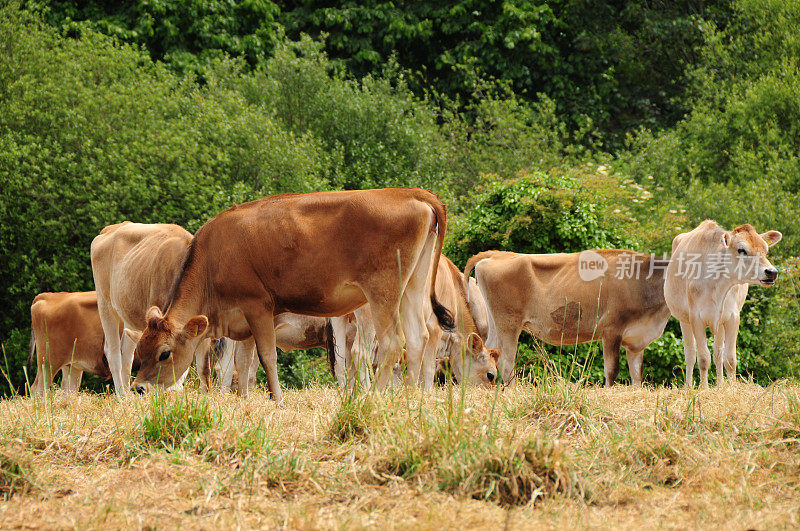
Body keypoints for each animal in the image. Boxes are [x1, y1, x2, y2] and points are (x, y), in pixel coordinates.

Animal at [133, 187, 456, 404]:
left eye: (164, 353)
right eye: (140, 349)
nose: (138, 388)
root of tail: (409, 193)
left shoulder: (258, 305)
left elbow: (266, 357)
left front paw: (277, 401)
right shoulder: (242, 320)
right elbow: (243, 363)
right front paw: (244, 400)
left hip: (383, 290)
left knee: (391, 343)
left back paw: (374, 398)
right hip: (413, 284)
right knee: (417, 338)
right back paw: (409, 399)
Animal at [466, 249, 672, 386]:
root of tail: (498, 254)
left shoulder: (636, 340)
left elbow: (637, 375)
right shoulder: (611, 331)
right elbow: (612, 371)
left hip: (496, 323)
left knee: (491, 350)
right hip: (509, 323)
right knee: (507, 363)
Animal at [664, 222, 780, 388]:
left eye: (765, 250)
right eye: (741, 250)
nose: (772, 272)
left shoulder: (732, 317)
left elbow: (730, 358)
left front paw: (730, 388)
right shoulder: (696, 318)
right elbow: (703, 358)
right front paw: (704, 389)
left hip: (720, 323)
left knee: (718, 353)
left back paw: (720, 385)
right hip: (683, 319)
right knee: (690, 353)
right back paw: (688, 387)